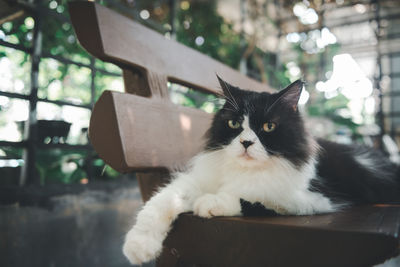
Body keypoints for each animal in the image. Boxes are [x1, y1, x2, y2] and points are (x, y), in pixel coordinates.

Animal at [122, 76, 400, 264]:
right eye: (234, 124)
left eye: (268, 127)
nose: (246, 143)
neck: (244, 170)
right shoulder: (196, 180)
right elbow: (162, 201)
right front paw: (138, 246)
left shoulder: (309, 198)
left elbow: (250, 195)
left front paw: (210, 203)